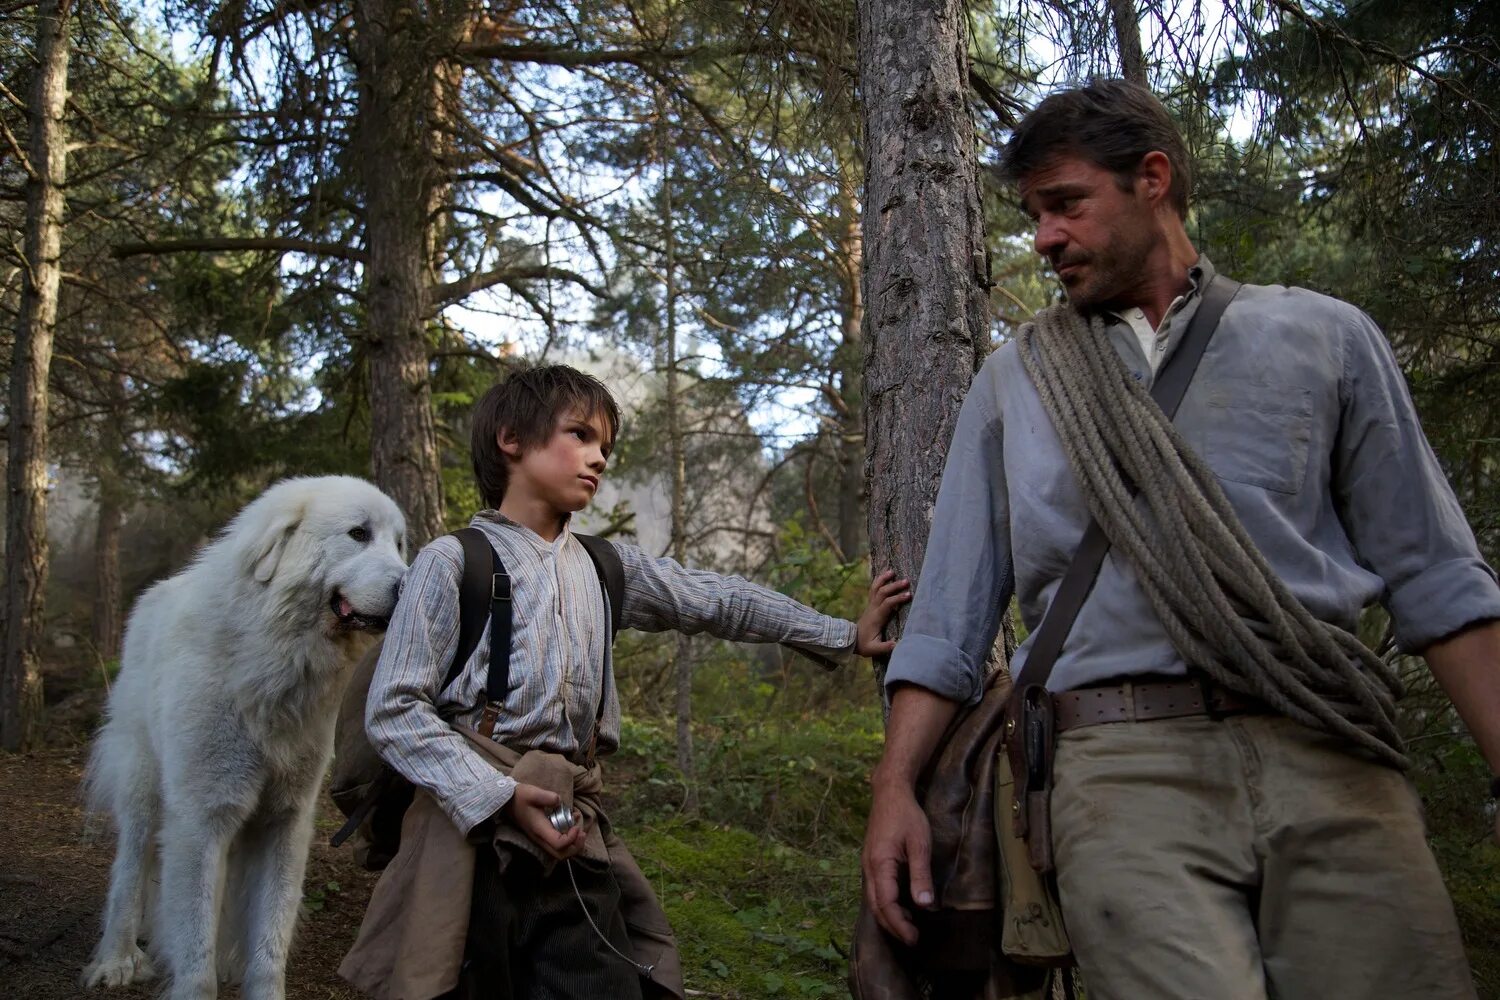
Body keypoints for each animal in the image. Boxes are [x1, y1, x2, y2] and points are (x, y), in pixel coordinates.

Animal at [80, 476, 411, 1000]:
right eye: (358, 534)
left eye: (398, 545)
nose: (409, 582)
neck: (274, 660)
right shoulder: (202, 817)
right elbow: (195, 944)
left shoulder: (285, 820)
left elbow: (269, 940)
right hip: (143, 787)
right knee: (129, 871)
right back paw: (116, 959)